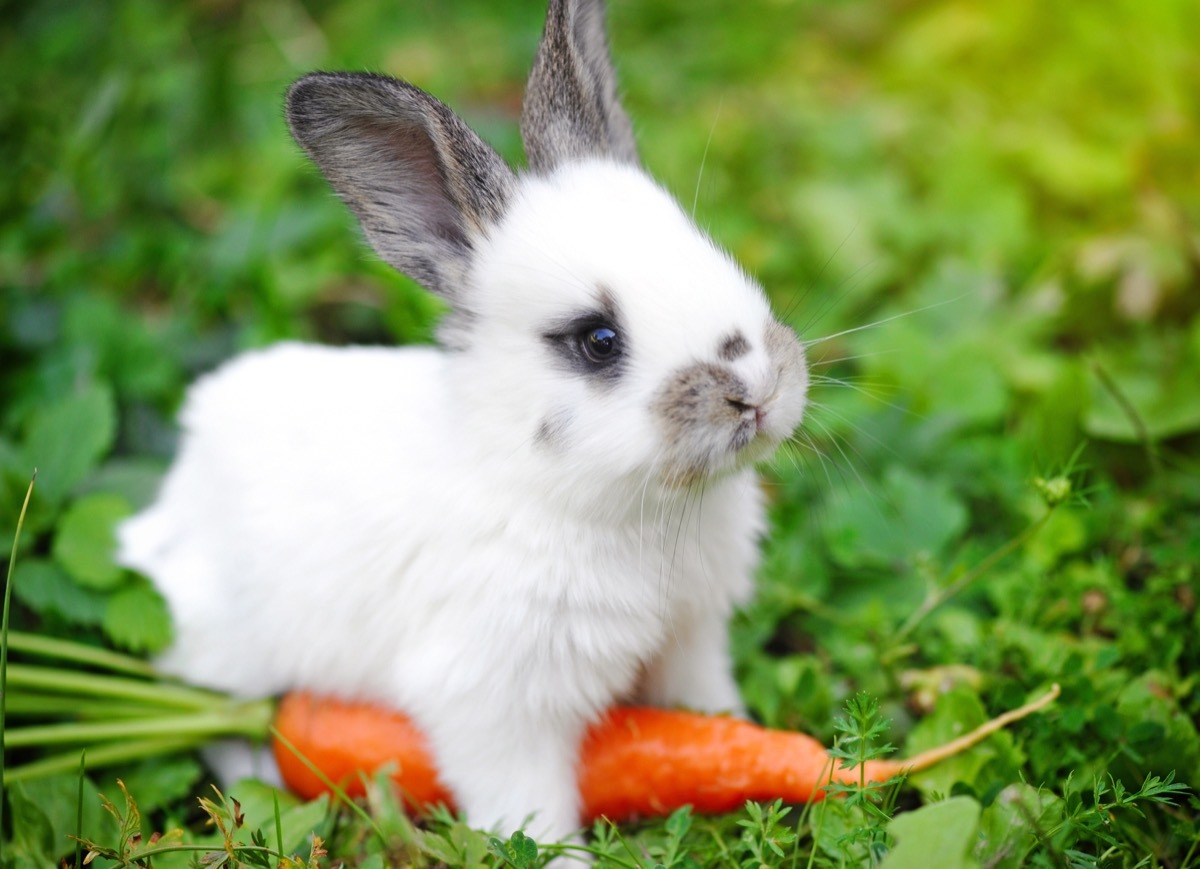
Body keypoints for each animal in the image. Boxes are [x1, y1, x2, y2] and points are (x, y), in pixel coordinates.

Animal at [117, 0, 811, 849]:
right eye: (598, 339)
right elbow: (529, 808)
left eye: (713, 255)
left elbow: (708, 715)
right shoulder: (494, 703)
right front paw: (564, 861)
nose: (757, 389)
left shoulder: (691, 639)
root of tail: (172, 502)